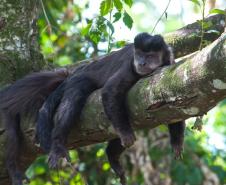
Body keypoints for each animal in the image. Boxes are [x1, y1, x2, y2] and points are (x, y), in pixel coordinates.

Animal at [0, 32, 185, 185]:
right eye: (139, 54)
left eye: (150, 56)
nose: (141, 62)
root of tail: (75, 72)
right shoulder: (130, 66)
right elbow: (109, 92)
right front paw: (126, 134)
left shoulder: (169, 63)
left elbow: (176, 110)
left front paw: (176, 142)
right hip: (80, 79)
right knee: (74, 98)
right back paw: (58, 144)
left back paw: (112, 156)